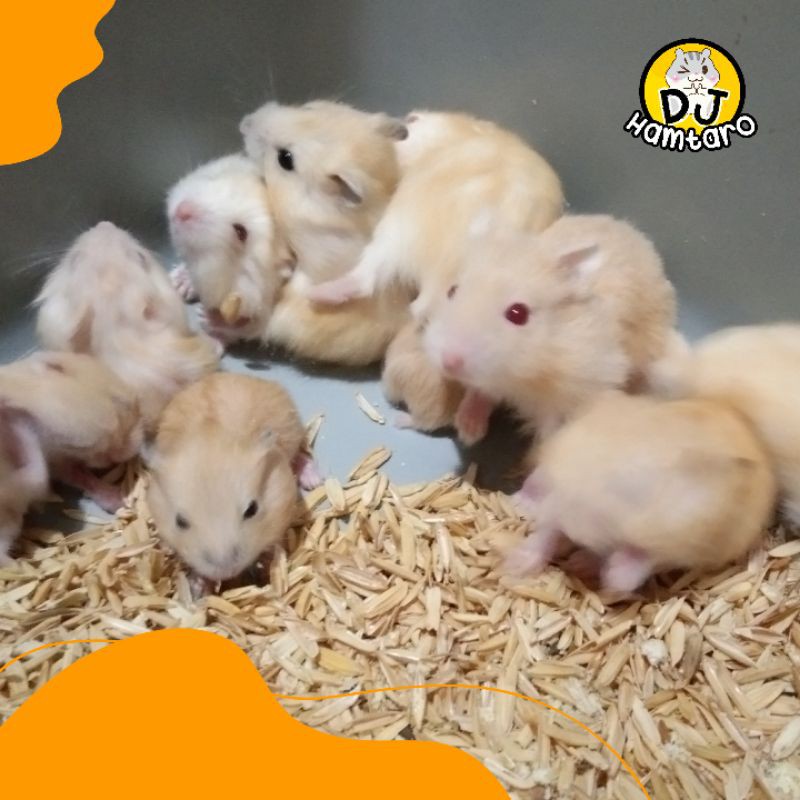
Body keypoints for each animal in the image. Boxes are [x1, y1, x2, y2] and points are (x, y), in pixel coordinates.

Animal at [146, 372, 320, 593]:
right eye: (180, 521)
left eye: (252, 509)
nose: (228, 571)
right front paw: (199, 585)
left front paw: (267, 566)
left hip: (292, 429)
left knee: (300, 454)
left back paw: (314, 481)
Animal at [166, 154, 294, 343]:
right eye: (214, 179)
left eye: (241, 232)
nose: (182, 210)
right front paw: (178, 281)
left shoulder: (262, 309)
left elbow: (245, 328)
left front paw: (204, 317)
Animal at [423, 215, 677, 444]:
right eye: (452, 291)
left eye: (518, 313)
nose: (449, 362)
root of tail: (635, 233)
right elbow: (479, 393)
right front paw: (468, 432)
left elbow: (550, 426)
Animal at [506, 391, 776, 594]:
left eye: (631, 493)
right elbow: (548, 532)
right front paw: (513, 566)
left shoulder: (683, 535)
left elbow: (641, 560)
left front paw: (611, 575)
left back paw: (583, 563)